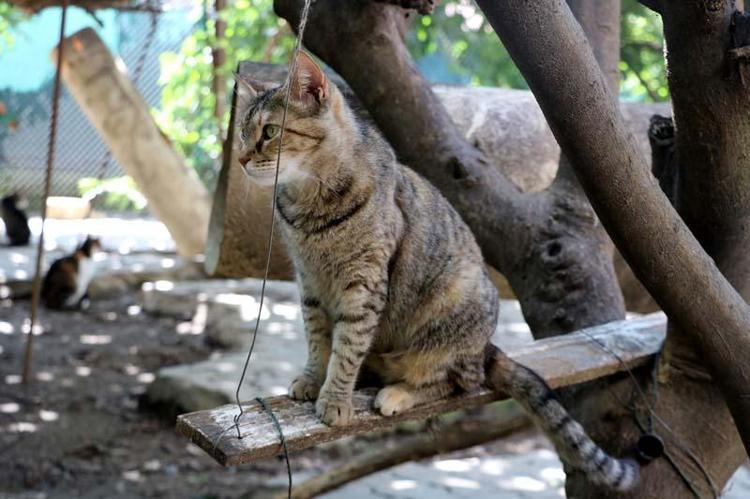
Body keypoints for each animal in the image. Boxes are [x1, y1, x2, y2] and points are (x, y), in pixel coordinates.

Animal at [235, 52, 638, 491]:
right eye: (242, 133)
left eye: (270, 131)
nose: (240, 158)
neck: (309, 205)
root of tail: (485, 347)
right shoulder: (308, 281)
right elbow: (317, 338)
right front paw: (312, 379)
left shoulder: (363, 284)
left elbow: (346, 347)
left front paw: (335, 398)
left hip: (451, 312)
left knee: (454, 383)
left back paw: (397, 394)